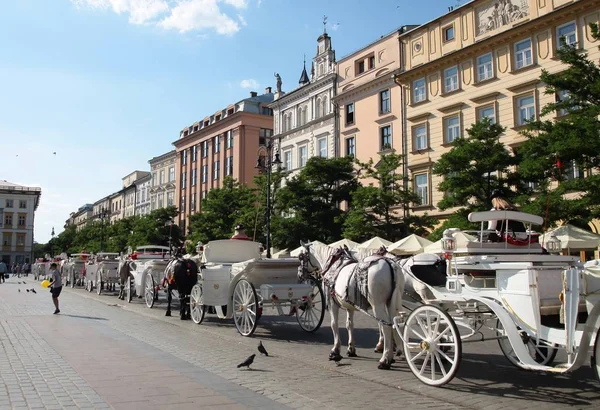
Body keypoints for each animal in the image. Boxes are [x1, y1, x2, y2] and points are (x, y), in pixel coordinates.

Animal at [302, 240, 406, 368]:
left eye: (301, 256)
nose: (300, 274)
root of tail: (390, 263)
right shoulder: (349, 306)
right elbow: (349, 325)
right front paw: (351, 349)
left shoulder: (332, 303)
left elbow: (334, 324)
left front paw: (335, 351)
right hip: (392, 303)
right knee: (395, 324)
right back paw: (391, 355)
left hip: (378, 305)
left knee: (385, 326)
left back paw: (385, 359)